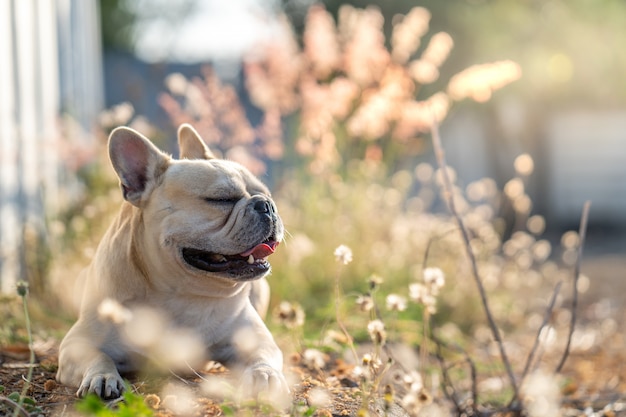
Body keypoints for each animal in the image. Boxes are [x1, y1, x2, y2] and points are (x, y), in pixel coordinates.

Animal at [56, 123, 288, 400]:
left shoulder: (258, 341)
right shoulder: (76, 345)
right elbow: (98, 357)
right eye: (221, 199)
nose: (267, 205)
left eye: (266, 194)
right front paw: (101, 376)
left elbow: (263, 356)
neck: (181, 296)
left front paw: (265, 374)